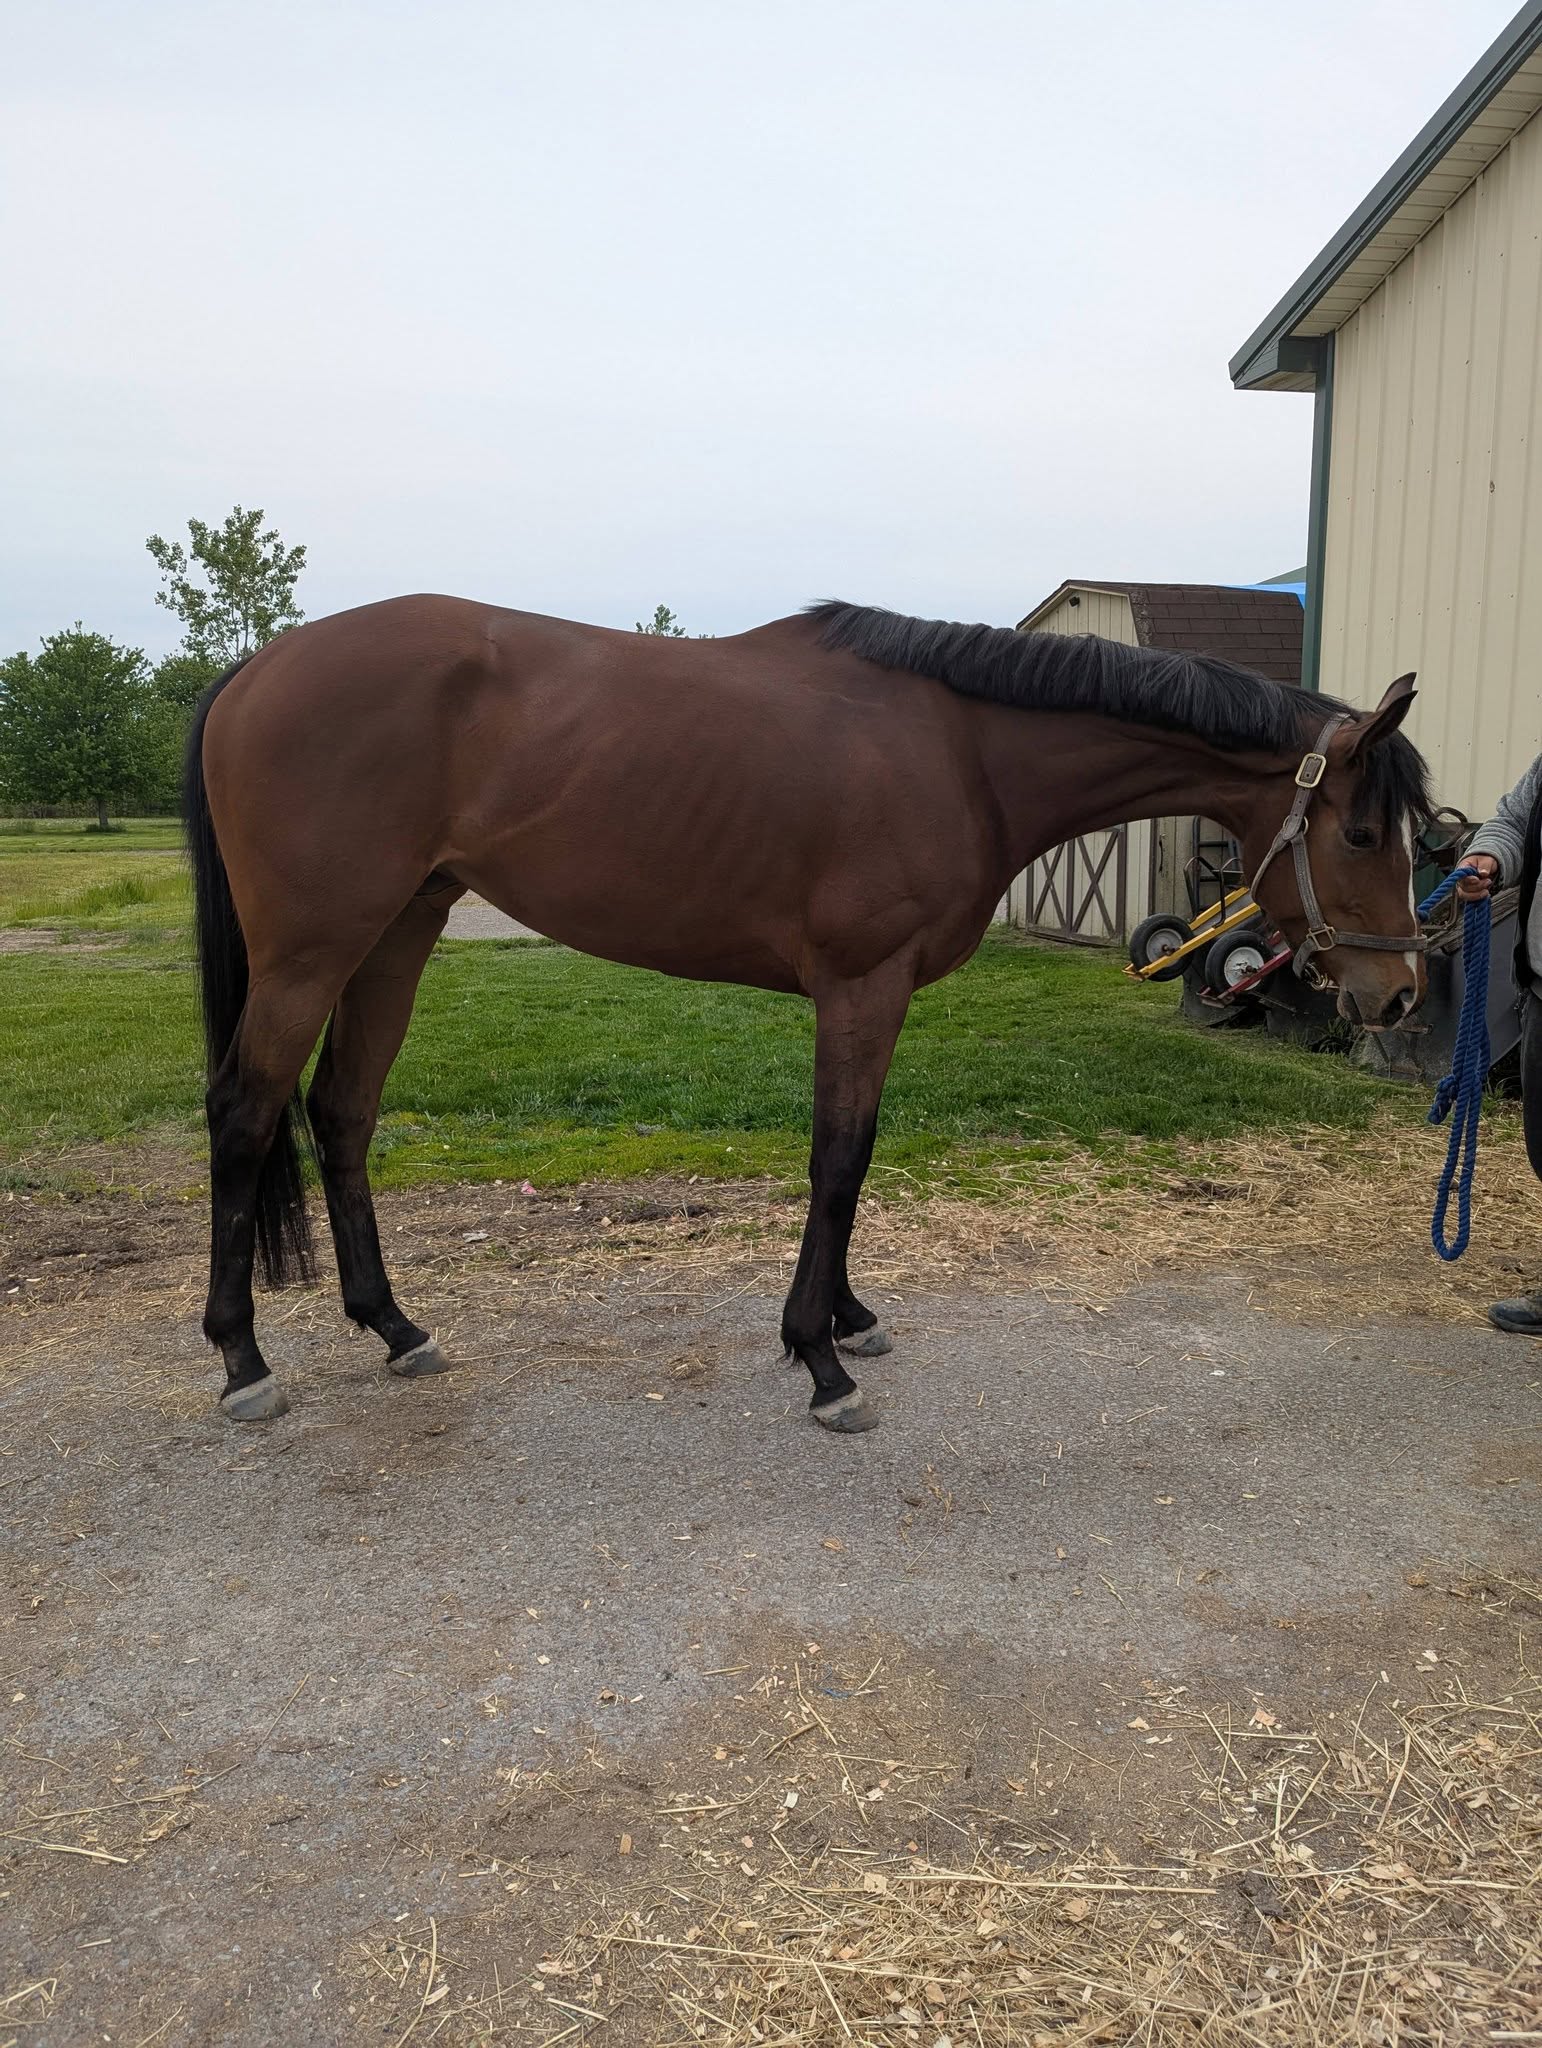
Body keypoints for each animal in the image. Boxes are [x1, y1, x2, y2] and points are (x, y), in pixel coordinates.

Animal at [183, 597, 1431, 1430]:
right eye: (1365, 831)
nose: (1401, 994)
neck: (961, 749)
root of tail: (255, 669)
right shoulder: (859, 983)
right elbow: (841, 1156)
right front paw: (821, 1361)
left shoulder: (875, 993)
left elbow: (854, 1157)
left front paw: (846, 1317)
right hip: (312, 949)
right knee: (246, 1111)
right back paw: (243, 1360)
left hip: (397, 930)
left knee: (341, 1112)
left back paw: (396, 1327)